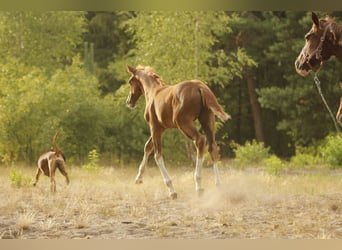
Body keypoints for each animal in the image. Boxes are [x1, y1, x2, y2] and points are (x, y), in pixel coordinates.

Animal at [125, 64, 230, 199]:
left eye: (130, 81)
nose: (129, 102)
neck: (153, 91)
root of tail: (199, 87)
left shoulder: (154, 127)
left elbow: (157, 155)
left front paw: (172, 190)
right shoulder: (161, 128)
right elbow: (148, 147)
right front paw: (138, 178)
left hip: (184, 123)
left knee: (200, 140)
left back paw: (199, 186)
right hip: (208, 121)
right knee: (213, 147)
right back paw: (218, 184)